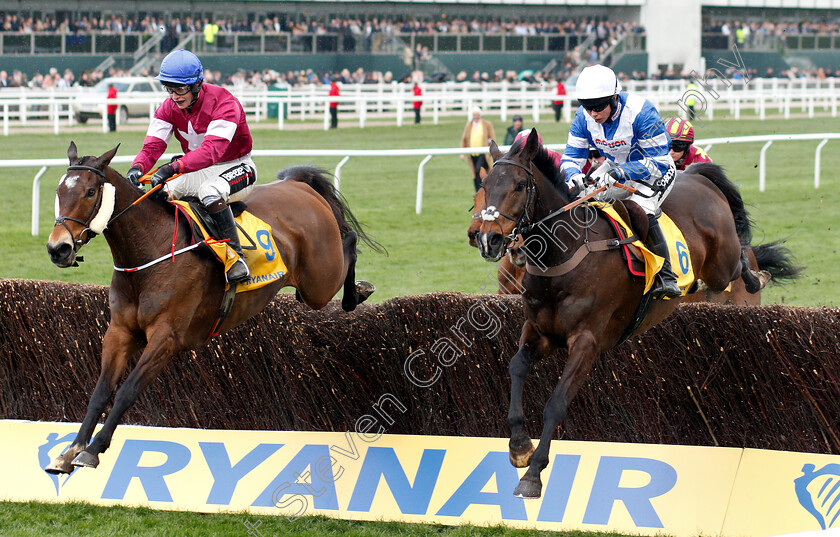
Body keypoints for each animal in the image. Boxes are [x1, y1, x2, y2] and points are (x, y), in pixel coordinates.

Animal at [42, 143, 378, 474]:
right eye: (58, 191)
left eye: (90, 192)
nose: (58, 248)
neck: (151, 250)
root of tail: (297, 184)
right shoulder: (120, 332)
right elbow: (100, 391)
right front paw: (70, 451)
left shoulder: (167, 337)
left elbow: (127, 391)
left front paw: (94, 449)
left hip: (319, 282)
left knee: (349, 241)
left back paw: (358, 290)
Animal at [476, 127, 764, 496]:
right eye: (484, 185)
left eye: (519, 185)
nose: (489, 239)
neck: (565, 256)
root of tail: (698, 176)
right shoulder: (538, 331)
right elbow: (515, 368)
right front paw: (519, 447)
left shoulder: (587, 341)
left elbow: (556, 403)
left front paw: (534, 473)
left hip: (719, 265)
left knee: (737, 260)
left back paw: (754, 275)